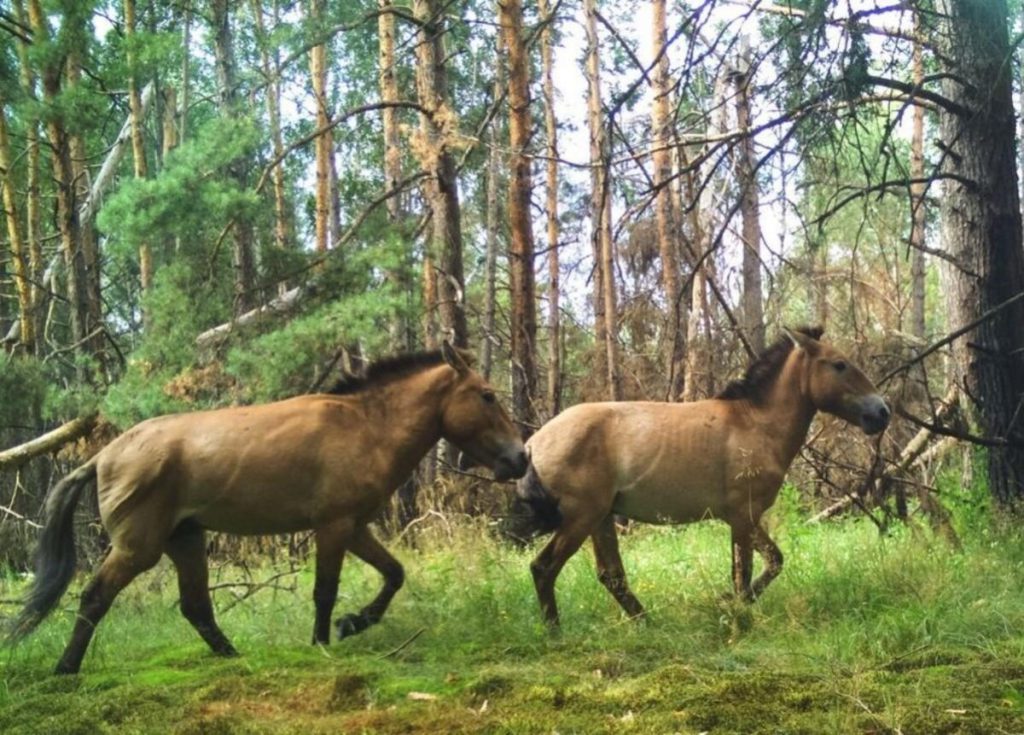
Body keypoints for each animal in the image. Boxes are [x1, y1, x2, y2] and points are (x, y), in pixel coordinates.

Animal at [9, 343, 528, 674]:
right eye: (487, 395)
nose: (520, 458)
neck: (365, 427)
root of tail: (103, 456)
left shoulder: (356, 526)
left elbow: (394, 574)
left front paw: (354, 622)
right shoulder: (333, 525)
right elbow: (325, 591)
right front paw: (322, 641)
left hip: (185, 540)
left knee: (196, 607)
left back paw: (233, 658)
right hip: (139, 547)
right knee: (95, 597)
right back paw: (65, 669)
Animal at [516, 327, 889, 625]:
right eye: (839, 364)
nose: (882, 412)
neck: (755, 423)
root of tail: (532, 444)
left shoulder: (739, 518)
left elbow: (759, 566)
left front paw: (730, 607)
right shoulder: (743, 515)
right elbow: (753, 570)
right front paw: (735, 612)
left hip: (601, 518)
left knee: (612, 577)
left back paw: (649, 625)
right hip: (581, 518)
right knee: (544, 568)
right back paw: (555, 632)